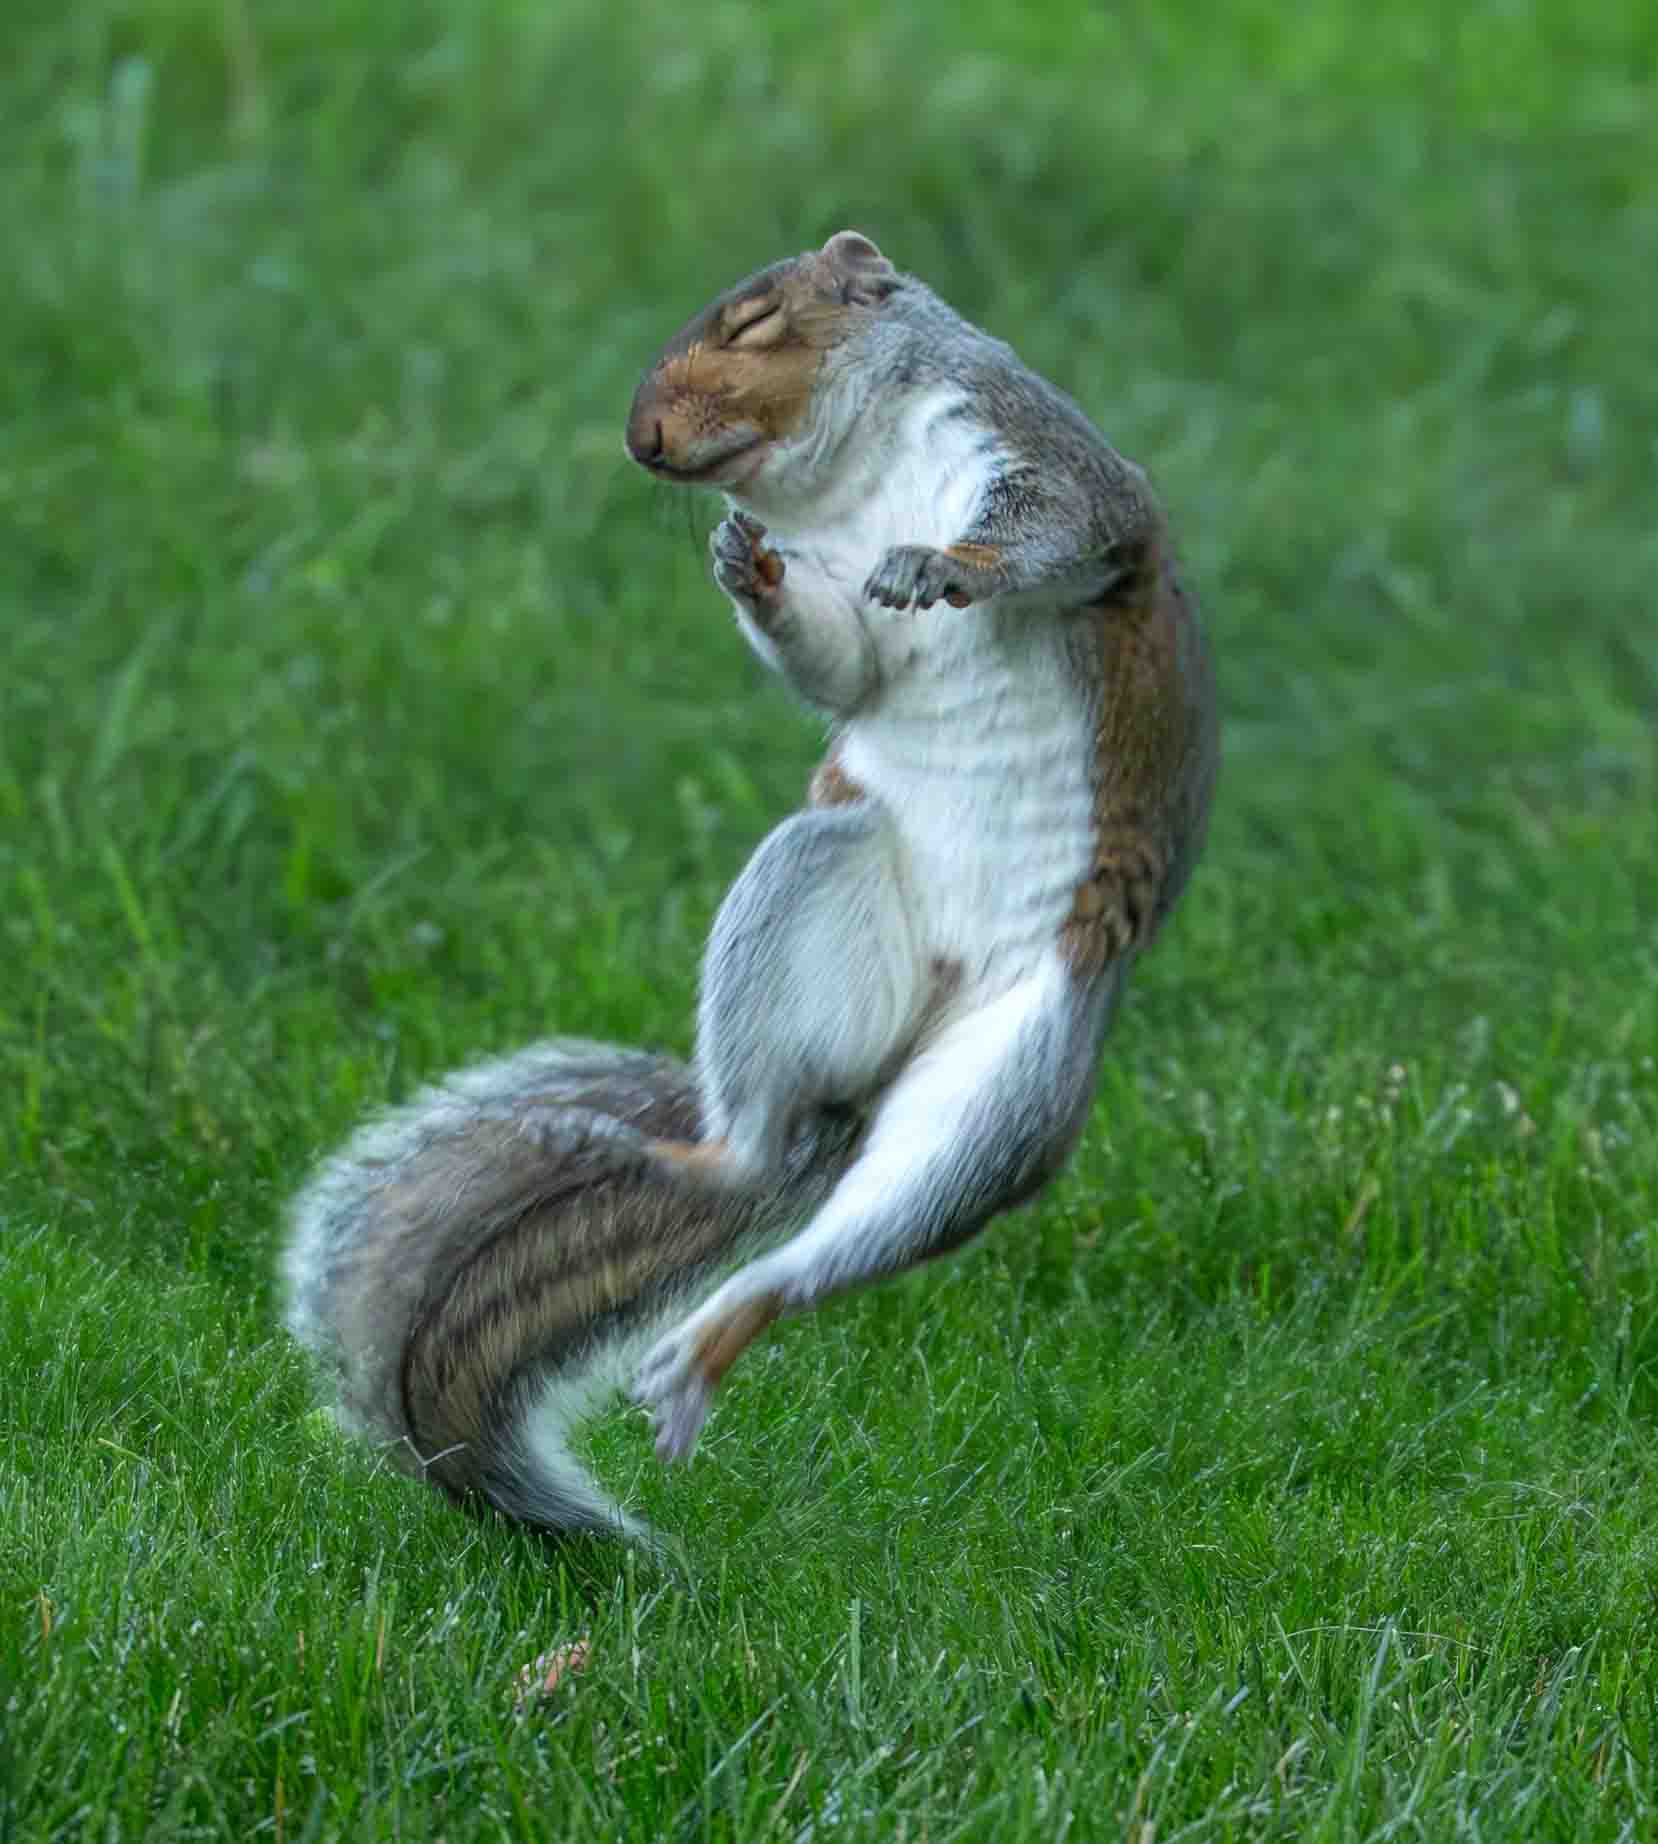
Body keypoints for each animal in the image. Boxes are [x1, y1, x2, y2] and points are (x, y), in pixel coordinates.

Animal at [283, 230, 1219, 1541]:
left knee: (870, 1219)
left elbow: (1053, 525)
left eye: (753, 320)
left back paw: (720, 1332)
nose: (642, 441)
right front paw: (747, 569)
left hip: (1016, 1072)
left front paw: (941, 559)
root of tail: (885, 1070)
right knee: (759, 1151)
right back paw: (687, 1166)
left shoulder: (1048, 459)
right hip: (812, 884)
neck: (854, 482)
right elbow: (845, 661)